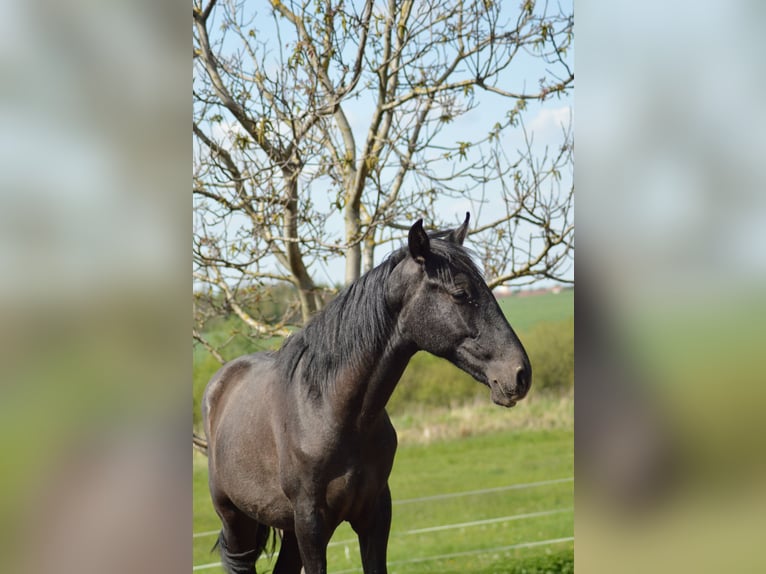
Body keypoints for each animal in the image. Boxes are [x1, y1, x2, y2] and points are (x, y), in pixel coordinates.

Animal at [201, 216, 532, 574]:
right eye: (460, 293)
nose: (520, 373)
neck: (332, 411)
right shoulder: (311, 525)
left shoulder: (374, 515)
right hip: (237, 520)